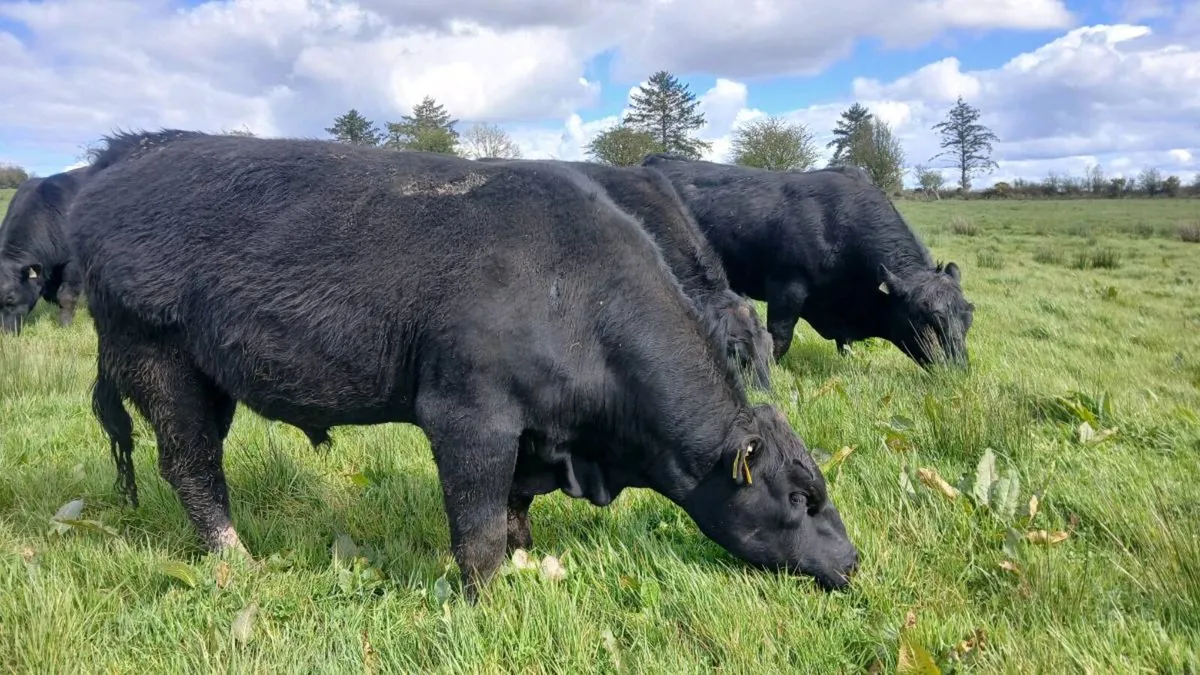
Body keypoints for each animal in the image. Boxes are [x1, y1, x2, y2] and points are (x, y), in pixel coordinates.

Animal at [0, 167, 89, 333]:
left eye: (10, 299)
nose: (5, 333)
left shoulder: (72, 263)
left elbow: (66, 296)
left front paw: (65, 325)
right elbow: (51, 296)